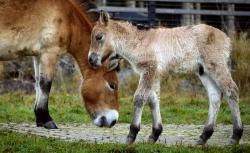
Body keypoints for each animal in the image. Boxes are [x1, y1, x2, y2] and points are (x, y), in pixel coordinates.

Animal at [0, 0, 120, 129]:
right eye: (112, 85)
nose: (113, 121)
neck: (69, 17)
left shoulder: (38, 56)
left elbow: (38, 84)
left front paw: (40, 119)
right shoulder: (49, 53)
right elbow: (45, 85)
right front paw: (47, 120)